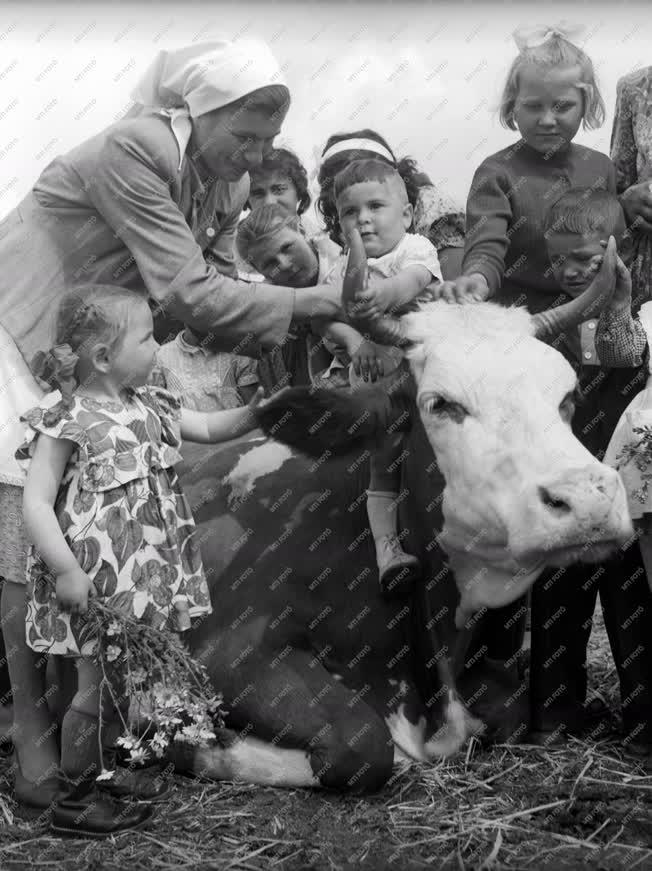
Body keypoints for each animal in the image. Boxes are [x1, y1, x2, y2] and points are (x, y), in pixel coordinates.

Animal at [171, 235, 636, 792]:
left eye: (568, 397)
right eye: (440, 404)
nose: (588, 500)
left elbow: (505, 709)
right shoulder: (229, 647)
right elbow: (363, 746)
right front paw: (195, 743)